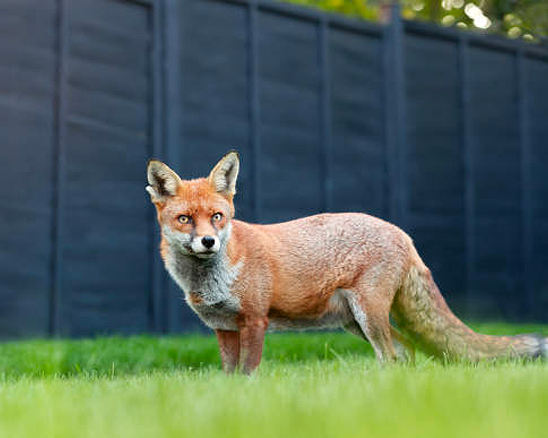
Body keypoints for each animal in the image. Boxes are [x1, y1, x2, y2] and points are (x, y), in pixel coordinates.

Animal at [146, 151, 547, 374]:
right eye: (185, 219)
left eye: (217, 216)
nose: (208, 242)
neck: (214, 277)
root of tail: (403, 234)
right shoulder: (224, 329)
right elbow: (229, 377)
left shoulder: (256, 321)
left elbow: (248, 372)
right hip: (355, 321)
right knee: (408, 352)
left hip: (369, 314)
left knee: (391, 356)